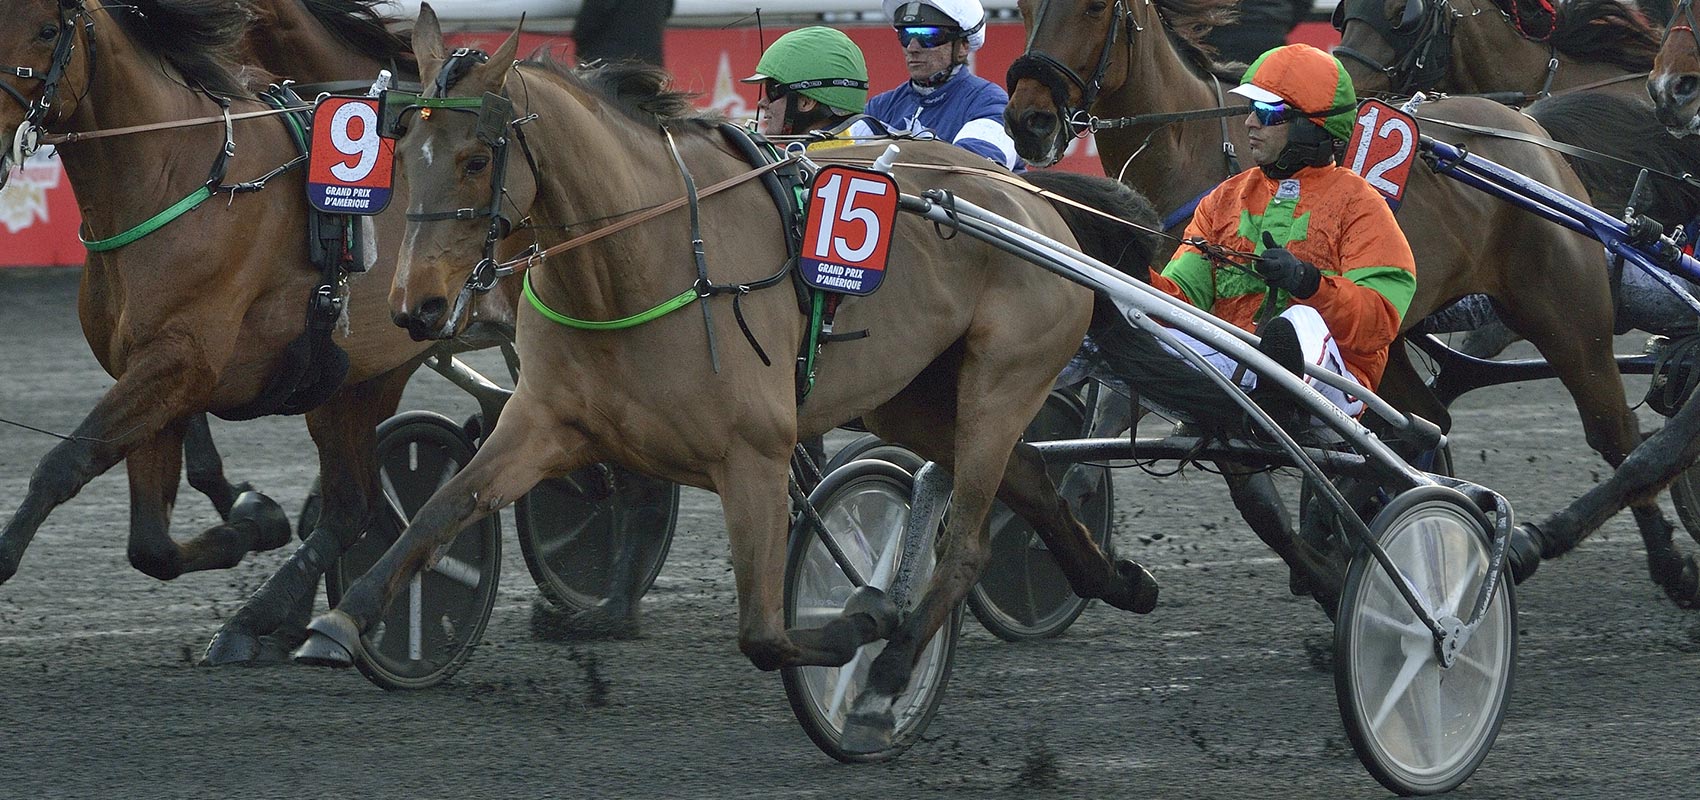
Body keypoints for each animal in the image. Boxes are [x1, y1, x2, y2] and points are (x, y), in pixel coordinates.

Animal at [299, 3, 1162, 747]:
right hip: (913, 397)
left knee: (970, 544)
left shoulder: (756, 455)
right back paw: (1116, 577)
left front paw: (859, 625)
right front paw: (342, 619)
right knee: (1029, 477)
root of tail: (1034, 203)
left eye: (477, 160)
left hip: (1000, 380)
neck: (643, 265)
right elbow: (441, 509)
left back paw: (886, 676)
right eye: (402, 153)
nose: (415, 305)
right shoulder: (543, 423)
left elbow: (764, 632)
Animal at [999, 0, 1700, 608]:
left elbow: (1254, 483)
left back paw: (1660, 561)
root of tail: (1531, 130)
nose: (1029, 120)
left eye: (1095, 7)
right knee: (1426, 420)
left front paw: (1329, 575)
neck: (1201, 159)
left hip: (1564, 315)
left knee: (1617, 432)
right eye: (1028, 7)